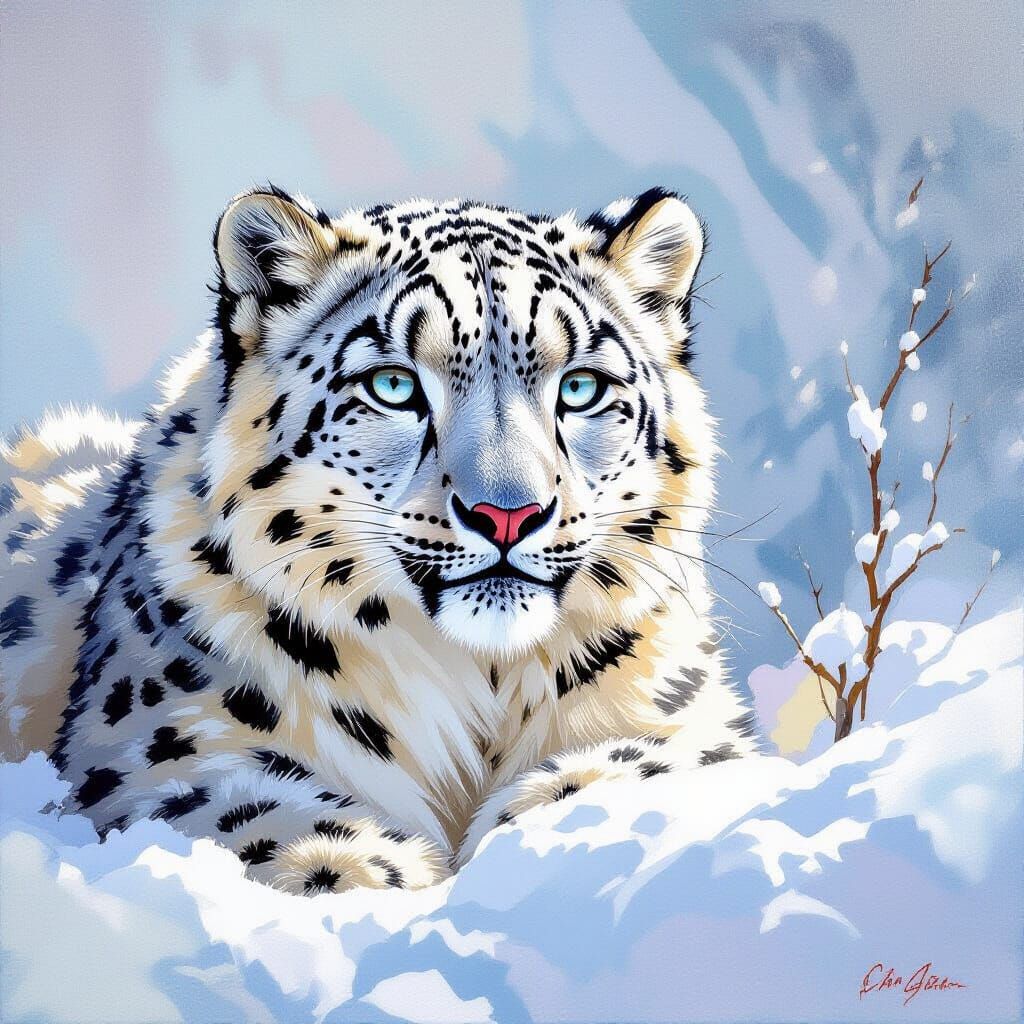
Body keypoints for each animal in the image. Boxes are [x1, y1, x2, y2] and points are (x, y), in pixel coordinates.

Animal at [0, 185, 759, 895]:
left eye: (580, 388)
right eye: (393, 386)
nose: (508, 514)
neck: (479, 685)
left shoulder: (688, 716)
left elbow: (662, 760)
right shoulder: (158, 752)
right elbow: (245, 816)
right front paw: (376, 873)